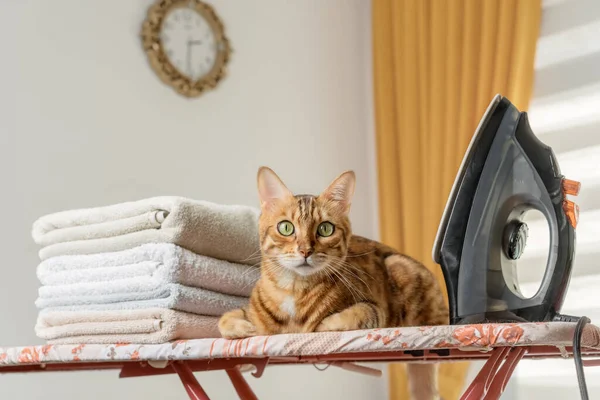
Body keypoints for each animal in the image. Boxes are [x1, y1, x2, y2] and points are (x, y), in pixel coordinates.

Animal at [218, 167, 448, 398]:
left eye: (325, 229)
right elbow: (225, 320)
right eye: (286, 228)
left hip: (399, 267)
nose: (305, 250)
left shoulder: (374, 309)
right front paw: (246, 328)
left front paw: (321, 325)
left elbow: (352, 316)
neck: (295, 289)